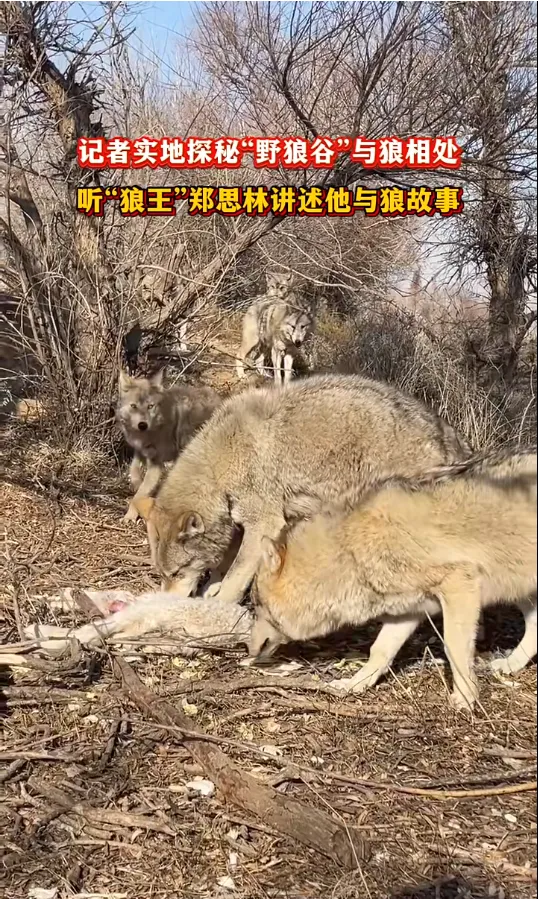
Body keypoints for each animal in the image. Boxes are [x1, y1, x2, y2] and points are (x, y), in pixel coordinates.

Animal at [114, 370, 221, 524]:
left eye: (150, 406)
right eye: (133, 406)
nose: (142, 425)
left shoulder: (156, 465)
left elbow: (138, 495)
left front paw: (130, 515)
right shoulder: (140, 452)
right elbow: (133, 472)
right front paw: (136, 484)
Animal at [132, 370, 466, 608]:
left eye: (177, 573)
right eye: (162, 575)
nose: (166, 600)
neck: (224, 458)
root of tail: (446, 432)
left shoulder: (265, 524)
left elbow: (235, 578)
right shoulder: (242, 524)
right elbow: (223, 566)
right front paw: (211, 588)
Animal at [248, 444, 536, 712]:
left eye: (257, 605)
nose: (248, 649)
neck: (350, 550)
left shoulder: (458, 585)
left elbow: (454, 649)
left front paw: (465, 699)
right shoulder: (410, 610)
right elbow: (379, 650)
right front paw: (353, 685)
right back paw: (510, 664)